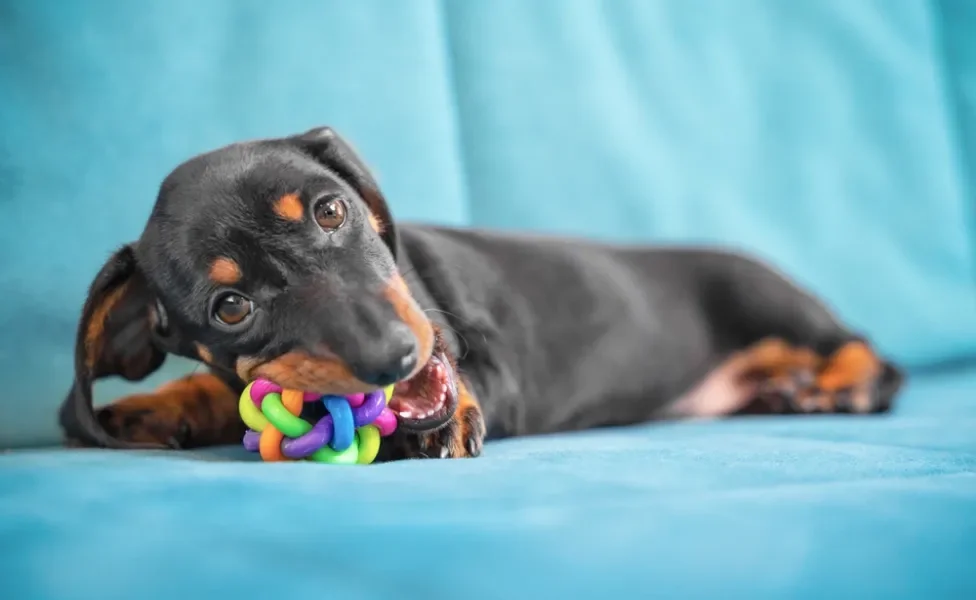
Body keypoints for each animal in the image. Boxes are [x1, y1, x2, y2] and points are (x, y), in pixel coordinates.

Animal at [57, 126, 904, 460]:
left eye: (330, 210)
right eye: (230, 308)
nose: (395, 358)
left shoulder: (491, 359)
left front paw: (445, 418)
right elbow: (218, 386)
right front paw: (155, 407)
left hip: (774, 305)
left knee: (873, 354)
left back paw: (837, 387)